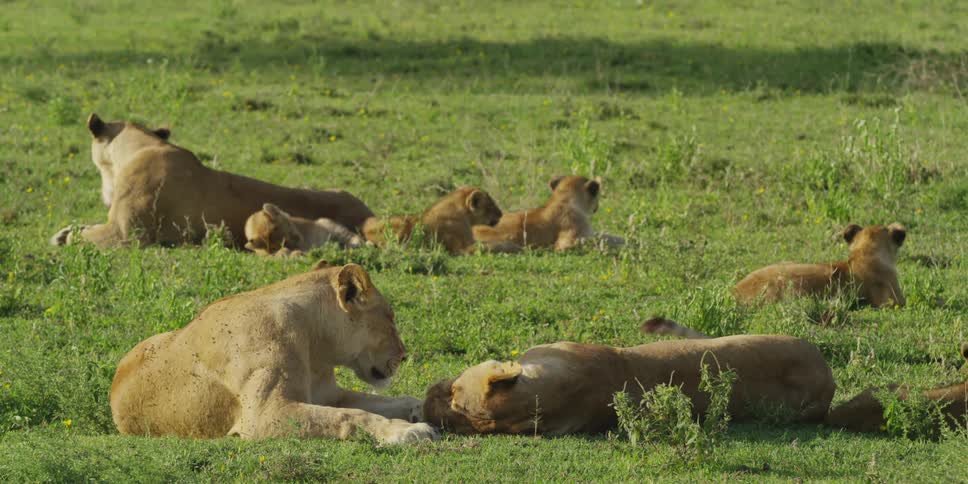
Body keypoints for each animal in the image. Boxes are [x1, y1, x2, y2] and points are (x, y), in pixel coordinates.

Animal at [109, 261, 437, 444]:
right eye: (390, 318)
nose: (404, 355)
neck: (316, 345)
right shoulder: (263, 414)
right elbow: (350, 415)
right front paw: (408, 431)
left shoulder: (330, 395)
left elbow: (388, 401)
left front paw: (423, 407)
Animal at [472, 175, 624, 251]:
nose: (597, 206)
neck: (563, 199)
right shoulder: (566, 243)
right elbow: (599, 241)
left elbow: (605, 235)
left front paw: (624, 240)